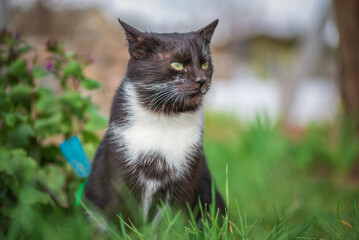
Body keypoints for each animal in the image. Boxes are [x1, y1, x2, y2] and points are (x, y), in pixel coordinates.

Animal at [84, 18, 225, 225]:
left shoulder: (187, 174)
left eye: (205, 64)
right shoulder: (121, 171)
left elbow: (174, 219)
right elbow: (125, 214)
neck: (164, 119)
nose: (201, 80)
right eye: (176, 64)